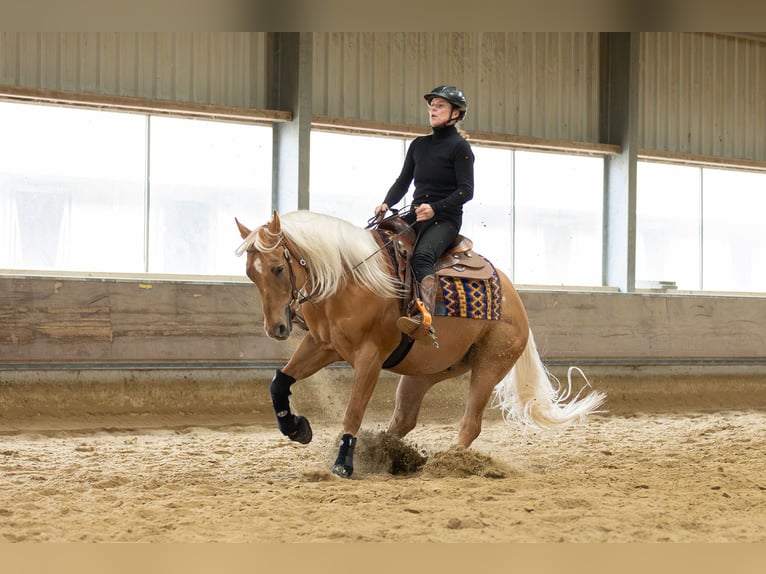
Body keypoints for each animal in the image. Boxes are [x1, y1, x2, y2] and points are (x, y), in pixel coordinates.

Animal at [234, 209, 608, 480]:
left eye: (278, 268)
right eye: (251, 274)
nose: (277, 327)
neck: (349, 277)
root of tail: (516, 301)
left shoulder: (370, 357)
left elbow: (353, 410)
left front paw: (343, 464)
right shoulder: (322, 345)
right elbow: (279, 382)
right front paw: (296, 427)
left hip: (490, 366)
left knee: (470, 424)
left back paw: (449, 463)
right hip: (423, 373)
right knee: (404, 420)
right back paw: (390, 453)